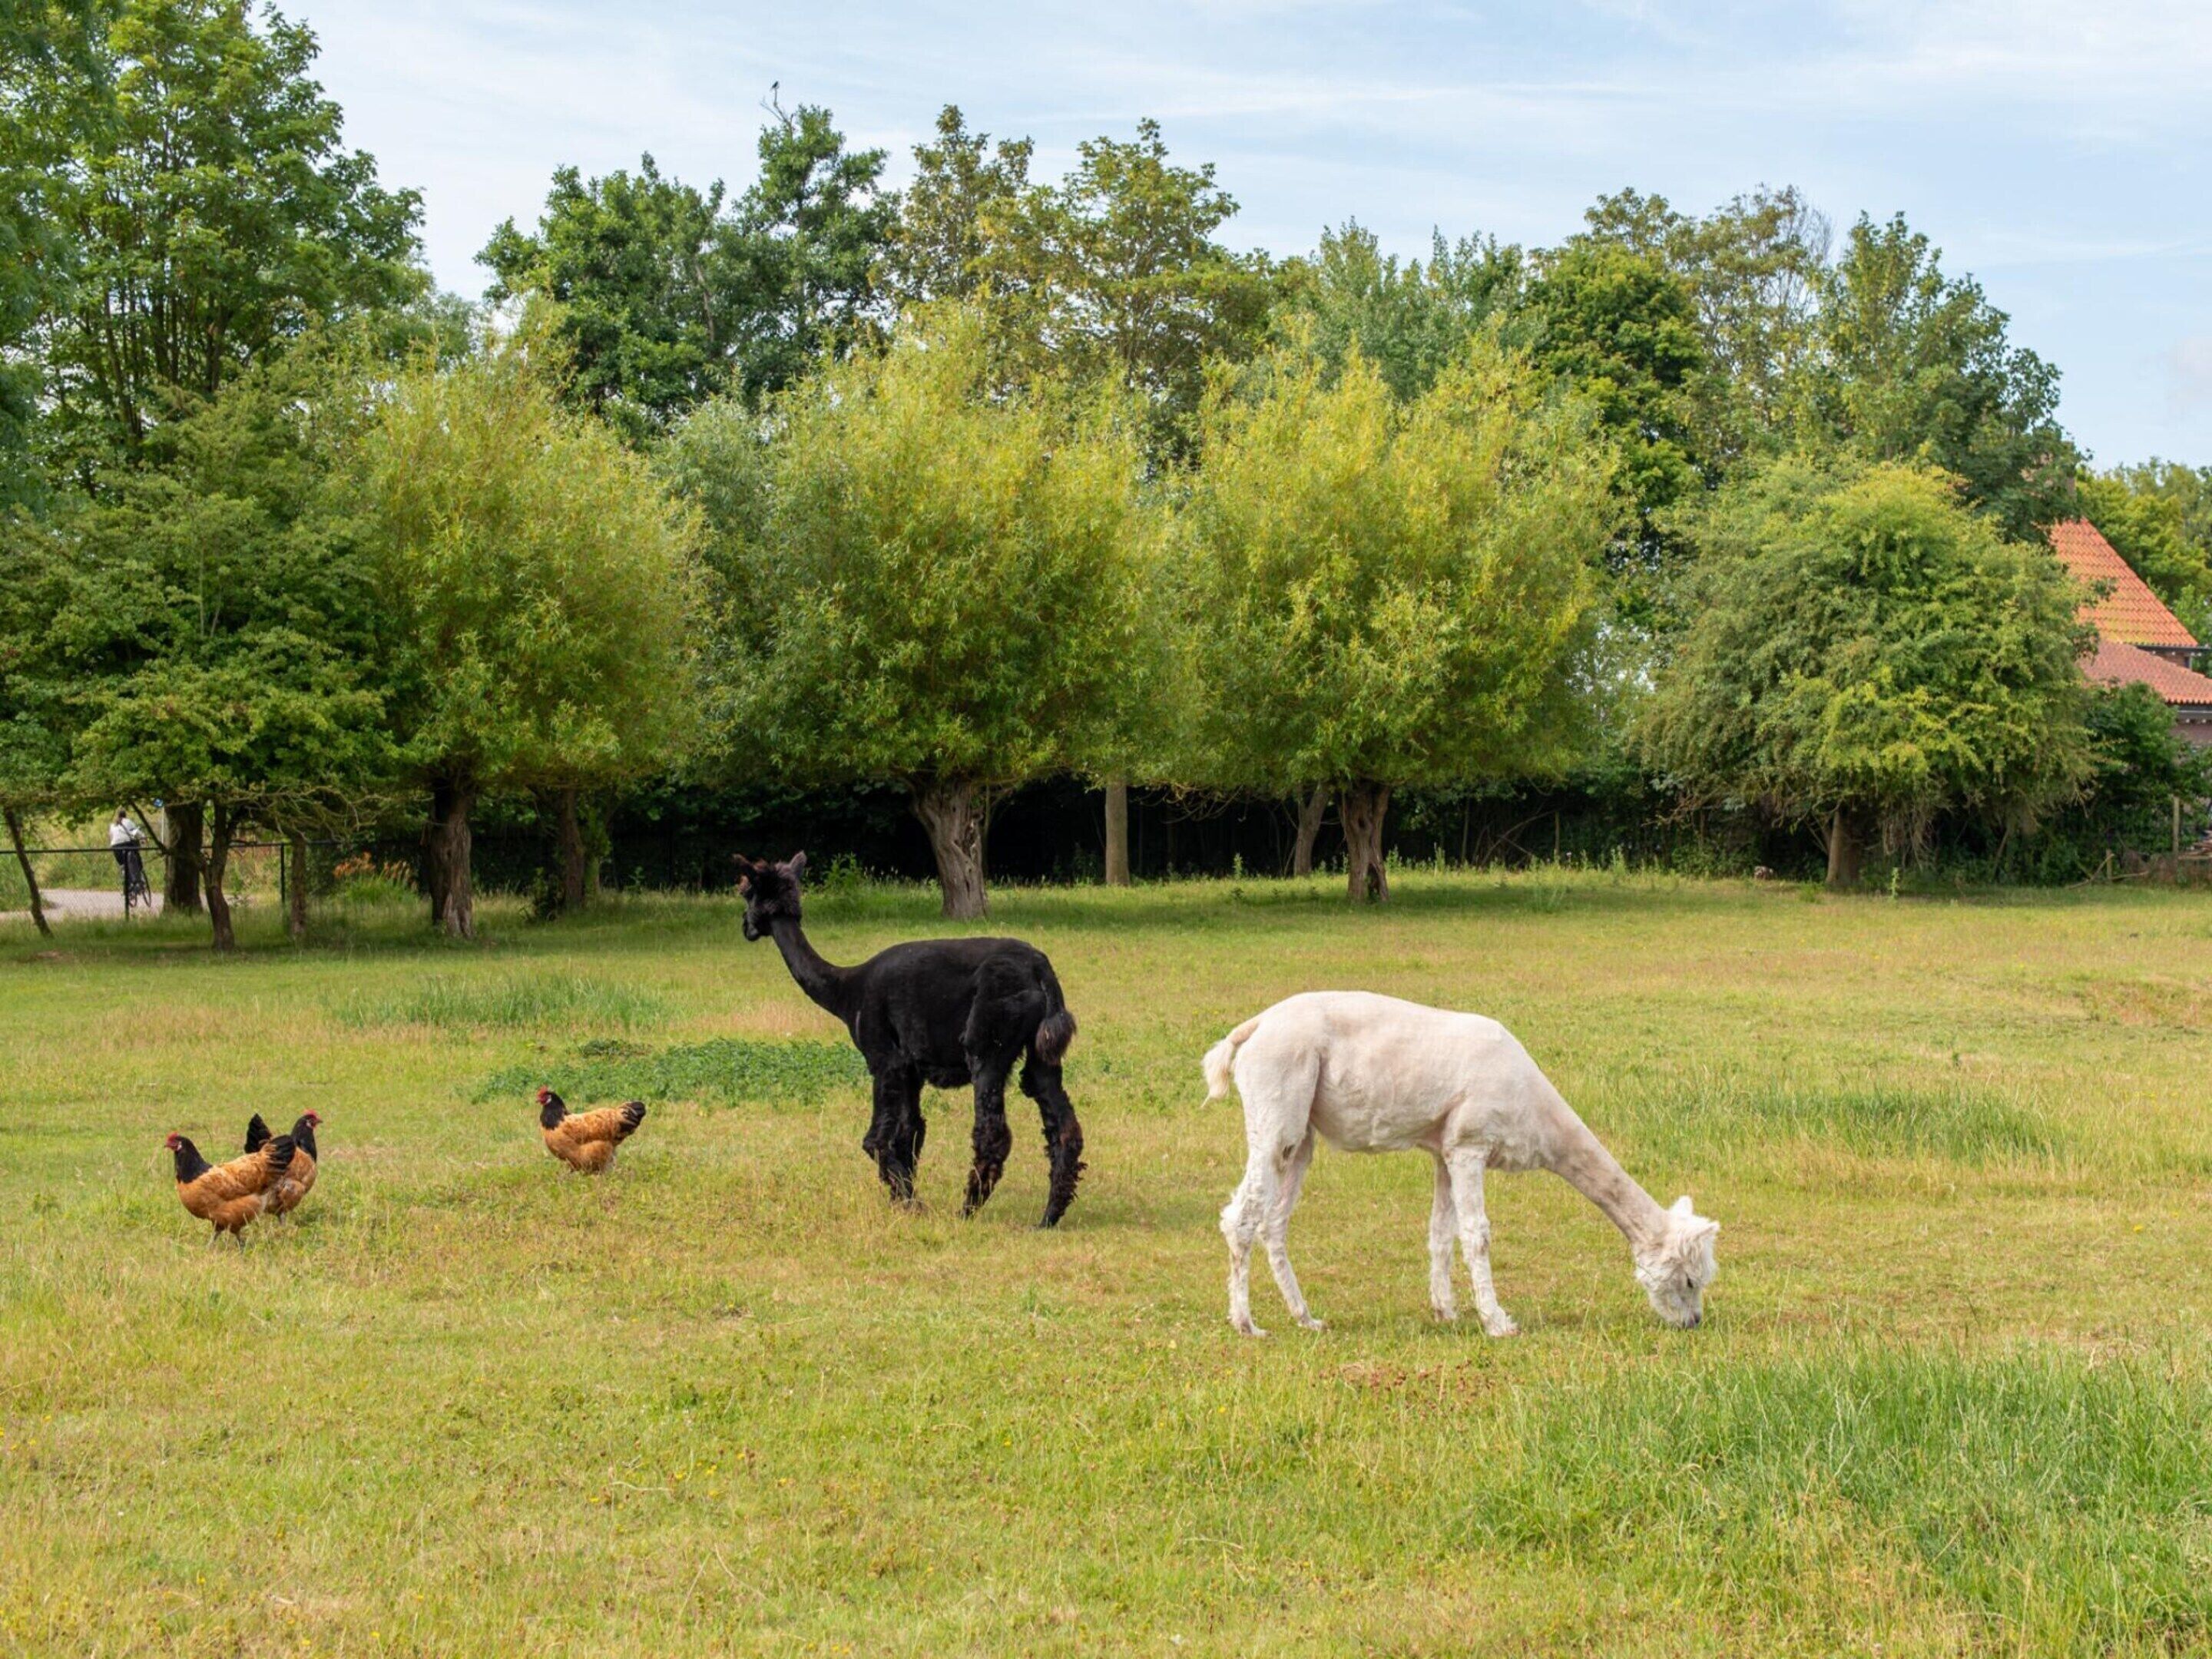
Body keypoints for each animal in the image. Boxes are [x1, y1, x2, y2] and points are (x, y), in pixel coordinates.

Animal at [1203, 991, 1718, 1336]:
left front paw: (1445, 1310)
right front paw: (1498, 1321)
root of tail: (1254, 1027)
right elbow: (1477, 1235)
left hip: (1302, 1135)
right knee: (1241, 1218)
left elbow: (1440, 1232)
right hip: (1277, 1109)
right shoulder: (1471, 1144)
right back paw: (1247, 1324)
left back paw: (1307, 1318)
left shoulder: (1444, 1149)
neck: (1535, 1111)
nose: (1693, 1321)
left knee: (1274, 1222)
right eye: (1690, 1279)